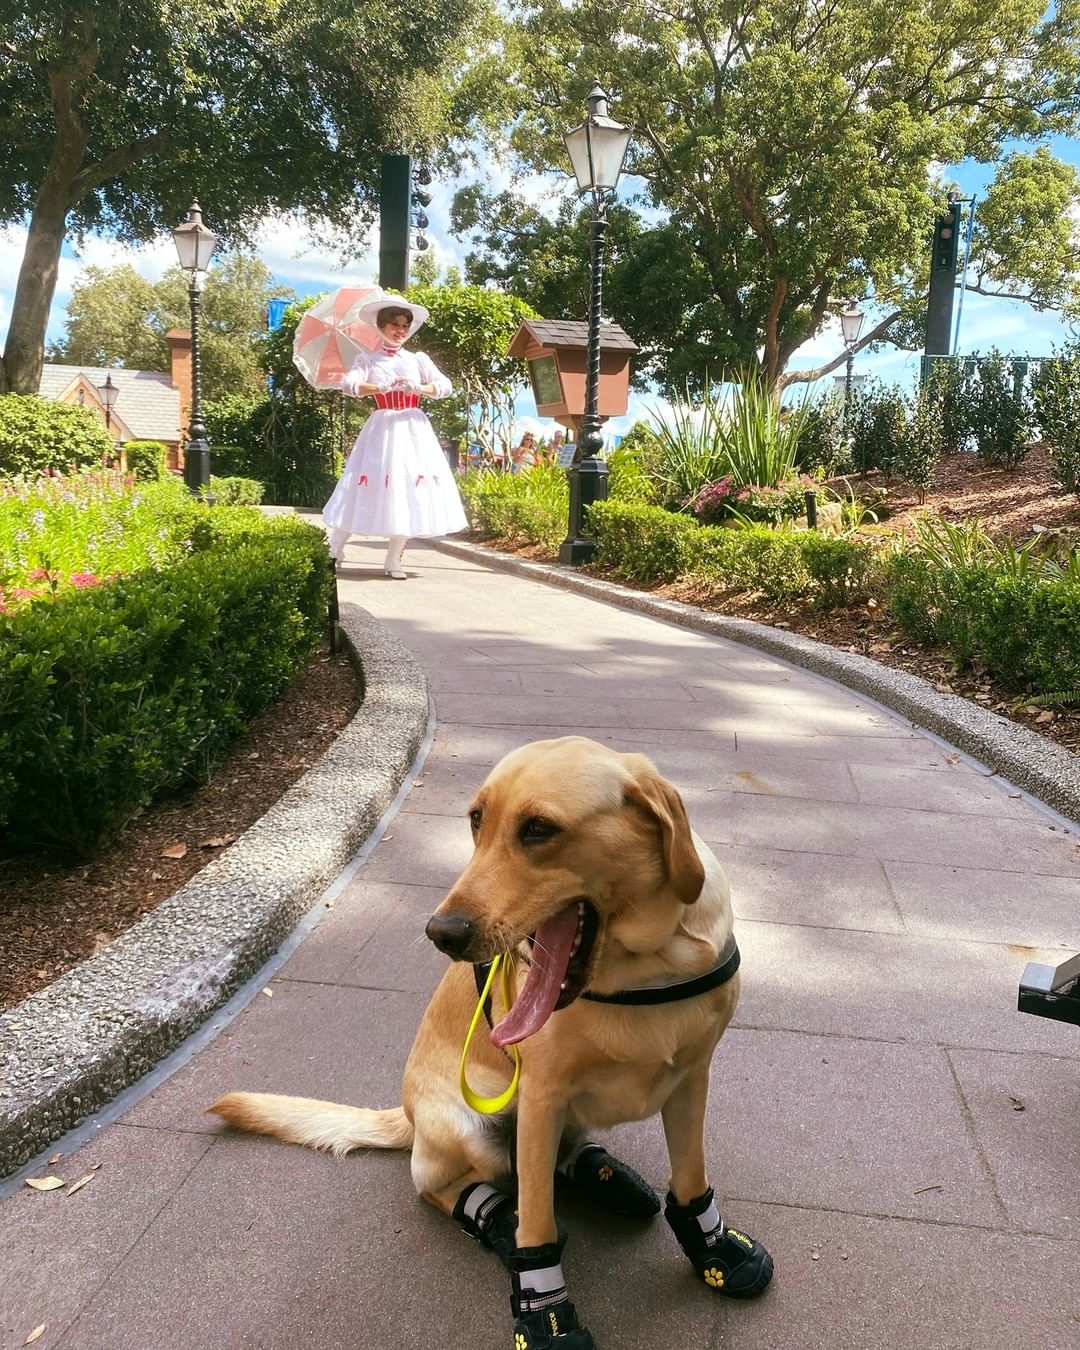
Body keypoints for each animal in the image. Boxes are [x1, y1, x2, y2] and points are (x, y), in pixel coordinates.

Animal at [209, 739, 766, 1350]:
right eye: (477, 821)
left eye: (539, 829)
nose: (441, 934)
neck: (645, 969)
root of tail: (408, 1113)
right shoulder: (542, 1097)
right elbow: (537, 1222)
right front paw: (547, 1314)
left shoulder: (692, 1080)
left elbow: (691, 1178)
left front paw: (715, 1250)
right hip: (474, 1132)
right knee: (445, 1185)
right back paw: (494, 1215)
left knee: (559, 1161)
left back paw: (606, 1177)